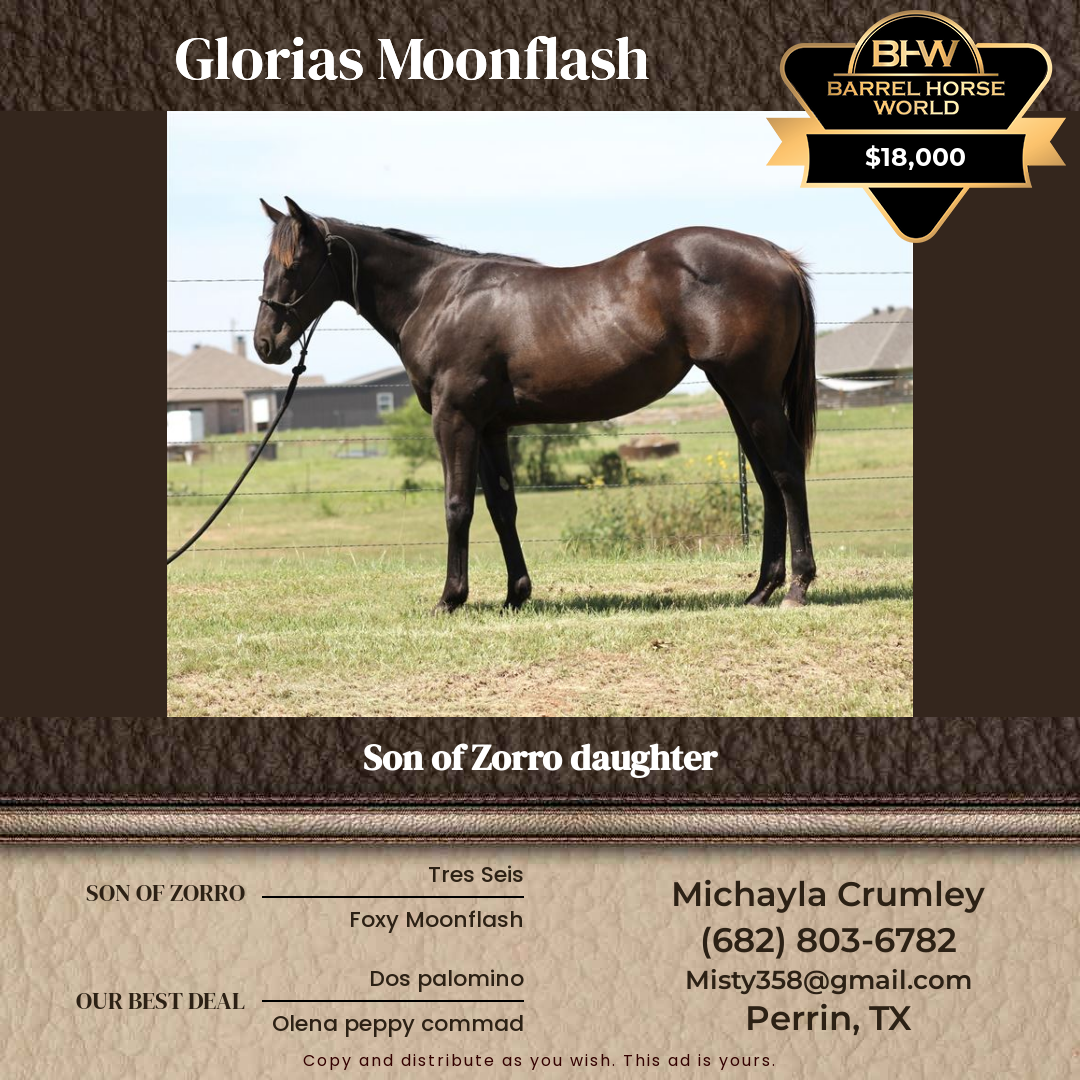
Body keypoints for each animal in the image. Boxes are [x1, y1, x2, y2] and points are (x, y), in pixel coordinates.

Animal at [254, 197, 817, 613]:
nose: (266, 344)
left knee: (788, 472)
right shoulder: (491, 427)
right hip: (737, 397)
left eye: (293, 264)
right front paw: (515, 595)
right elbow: (503, 507)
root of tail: (777, 257)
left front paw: (450, 598)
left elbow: (457, 506)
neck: (437, 297)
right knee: (768, 480)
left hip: (753, 395)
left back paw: (796, 587)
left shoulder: (455, 420)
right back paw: (760, 590)